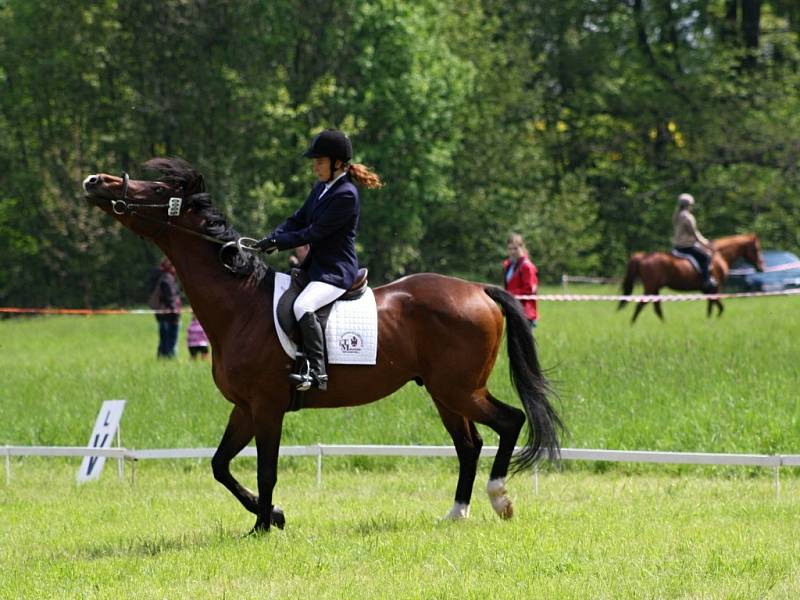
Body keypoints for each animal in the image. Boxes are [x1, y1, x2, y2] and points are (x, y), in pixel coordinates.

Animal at [83, 157, 564, 532]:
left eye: (158, 188)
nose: (94, 181)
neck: (240, 304)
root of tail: (479, 289)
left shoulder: (267, 406)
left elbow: (266, 469)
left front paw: (263, 526)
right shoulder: (244, 407)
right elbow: (220, 465)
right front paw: (272, 516)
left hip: (460, 389)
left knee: (509, 421)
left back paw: (500, 499)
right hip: (444, 392)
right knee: (469, 445)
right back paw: (456, 513)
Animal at [616, 233, 764, 324]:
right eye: (756, 249)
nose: (761, 267)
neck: (719, 256)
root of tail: (643, 257)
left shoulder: (708, 290)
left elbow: (711, 306)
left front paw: (709, 320)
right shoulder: (715, 288)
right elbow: (719, 307)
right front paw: (713, 320)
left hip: (655, 288)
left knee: (656, 308)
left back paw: (664, 324)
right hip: (651, 287)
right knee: (641, 305)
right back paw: (634, 324)